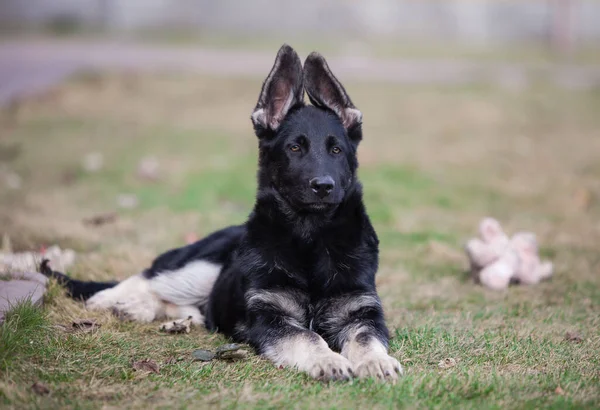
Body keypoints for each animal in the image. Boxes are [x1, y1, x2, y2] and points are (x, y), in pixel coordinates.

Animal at [45, 44, 404, 382]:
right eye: (294, 148)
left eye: (336, 150)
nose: (323, 186)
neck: (310, 237)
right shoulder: (269, 317)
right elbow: (307, 337)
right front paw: (328, 360)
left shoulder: (362, 311)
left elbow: (365, 339)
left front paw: (377, 362)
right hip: (198, 268)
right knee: (147, 277)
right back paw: (113, 301)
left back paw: (152, 313)